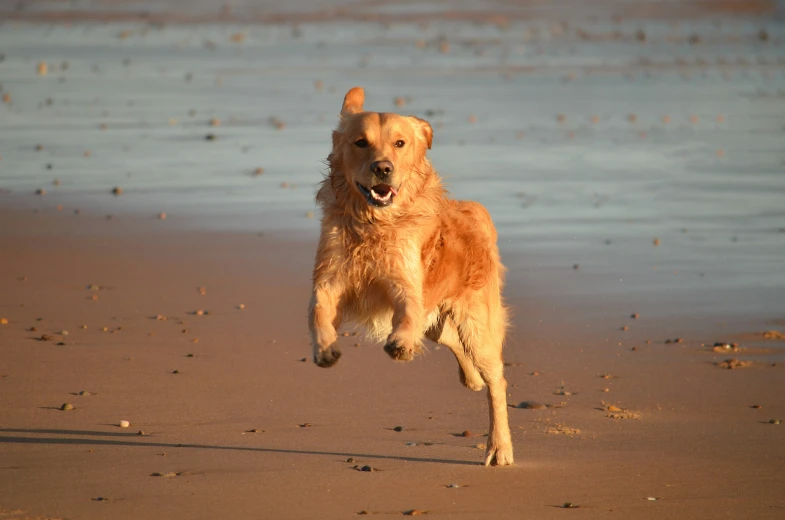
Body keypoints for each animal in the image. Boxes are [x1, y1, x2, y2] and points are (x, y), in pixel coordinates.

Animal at [306, 87, 516, 466]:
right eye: (360, 142)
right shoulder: (330, 279)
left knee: (497, 381)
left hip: (477, 325)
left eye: (400, 143)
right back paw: (471, 379)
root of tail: (475, 211)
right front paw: (325, 347)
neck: (373, 224)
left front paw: (400, 342)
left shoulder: (406, 286)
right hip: (439, 324)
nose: (382, 168)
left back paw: (499, 447)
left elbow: (406, 312)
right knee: (450, 341)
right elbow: (318, 308)